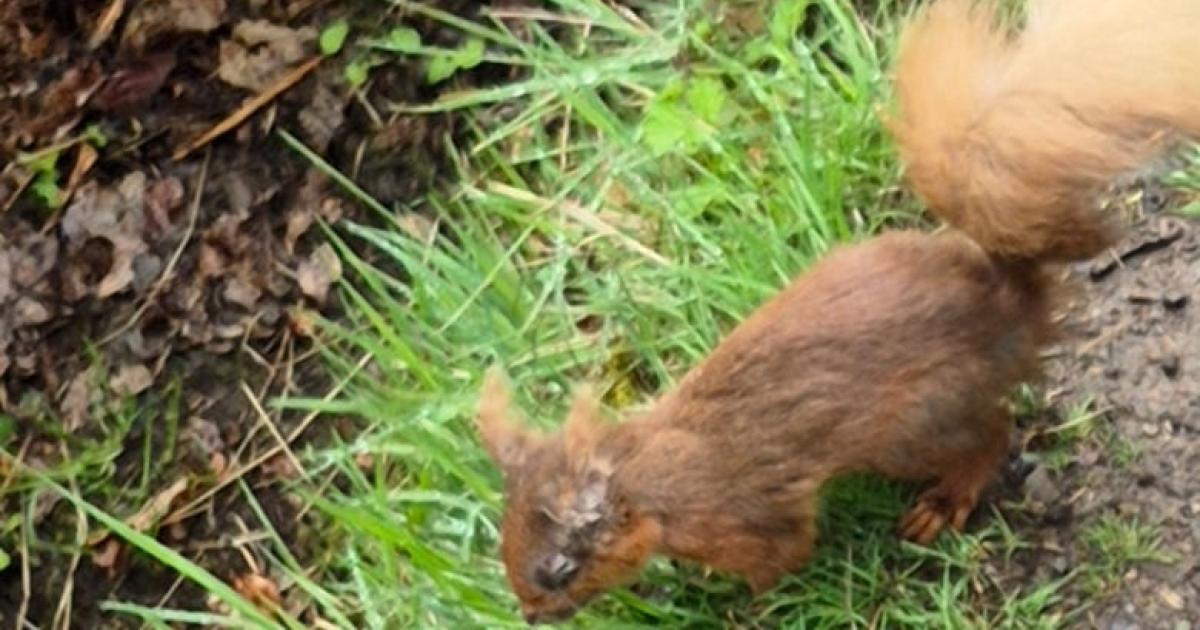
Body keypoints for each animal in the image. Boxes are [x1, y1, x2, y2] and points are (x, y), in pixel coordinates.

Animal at [476, 0, 1200, 624]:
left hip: (918, 423)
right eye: (504, 543)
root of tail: (1008, 306)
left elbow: (782, 556)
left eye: (560, 569)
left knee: (992, 435)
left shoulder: (744, 519)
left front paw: (742, 607)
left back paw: (944, 502)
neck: (648, 475)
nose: (530, 615)